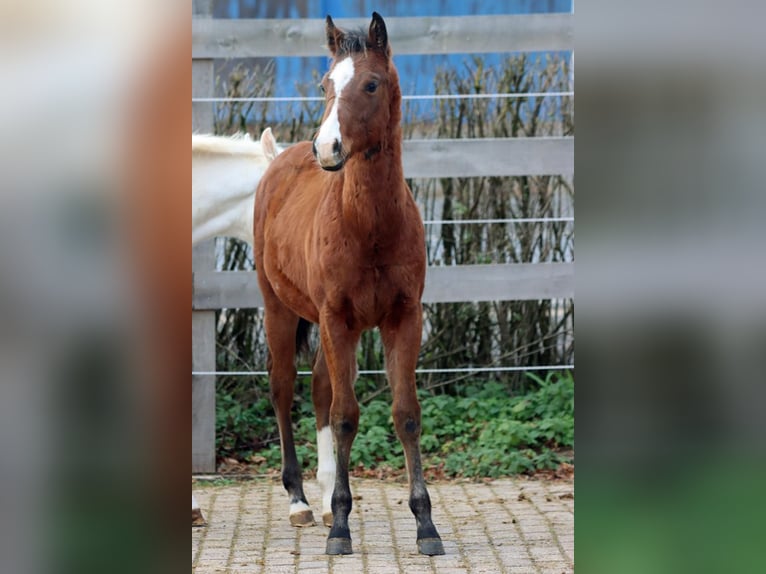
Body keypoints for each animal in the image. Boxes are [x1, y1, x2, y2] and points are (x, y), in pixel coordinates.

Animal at [253, 13, 444, 556]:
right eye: (324, 85)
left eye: (371, 84)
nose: (327, 148)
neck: (369, 227)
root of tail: (279, 158)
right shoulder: (336, 317)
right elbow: (345, 415)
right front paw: (341, 525)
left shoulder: (402, 318)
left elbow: (405, 413)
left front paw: (425, 524)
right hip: (280, 308)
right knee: (283, 387)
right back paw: (300, 501)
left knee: (319, 386)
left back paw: (319, 500)